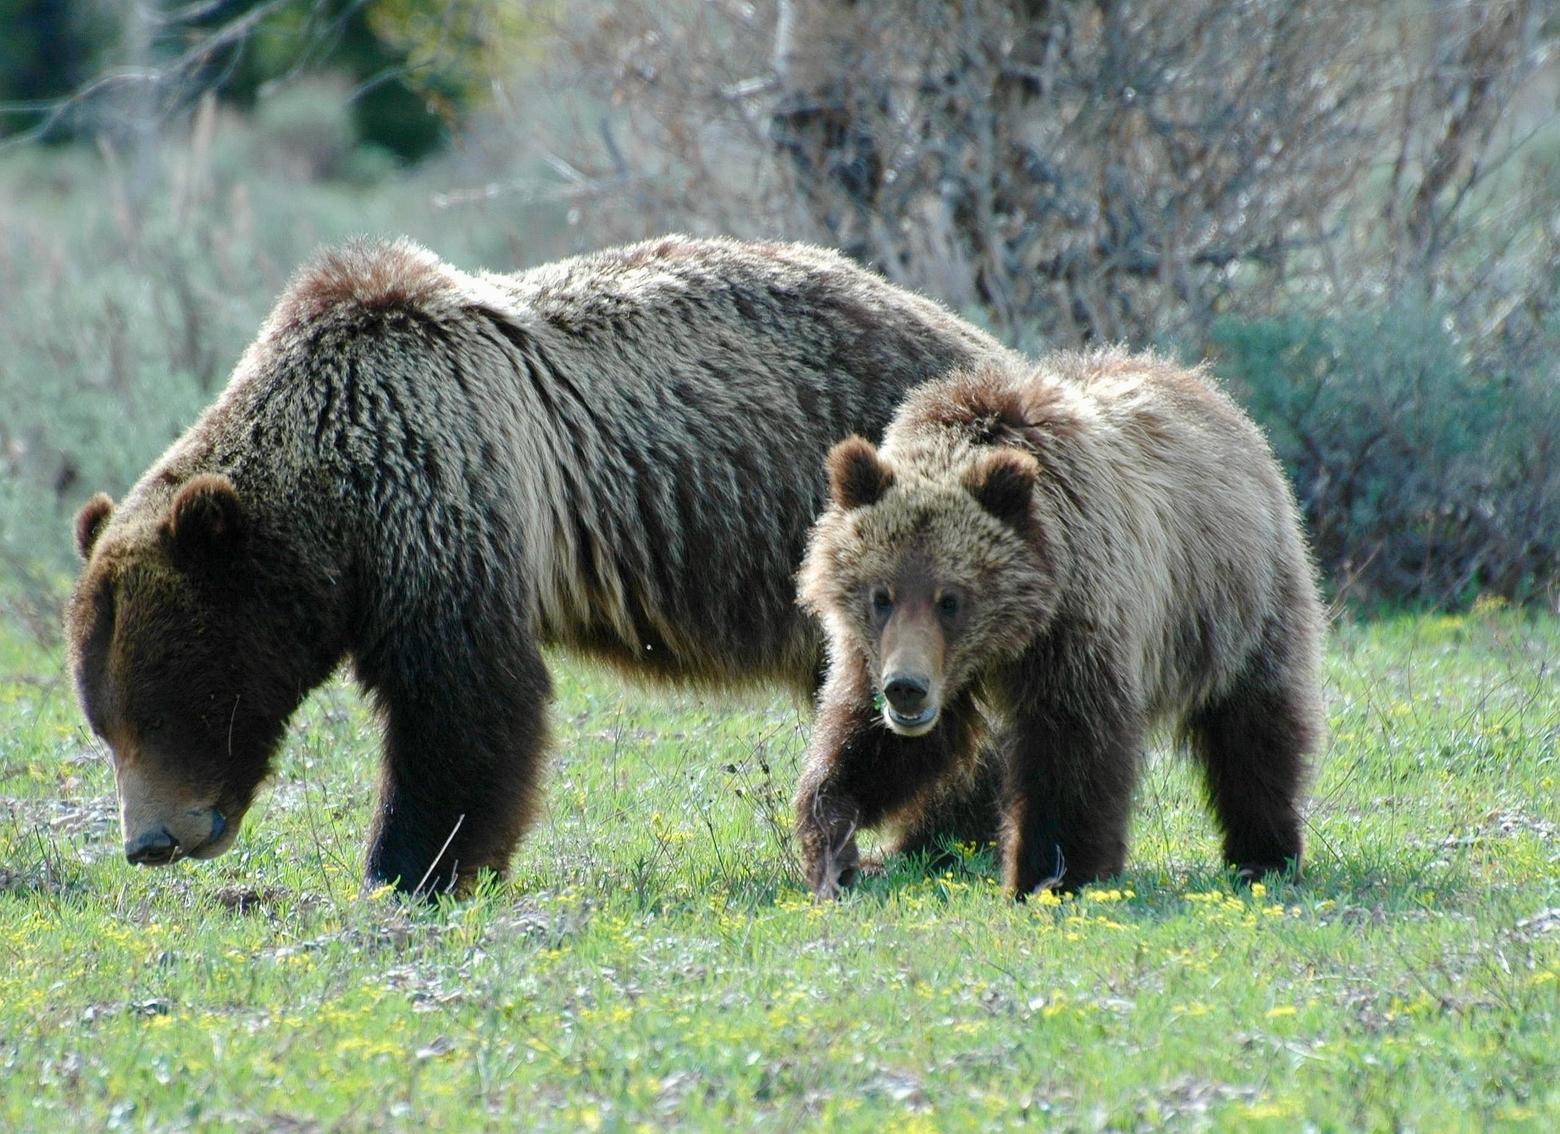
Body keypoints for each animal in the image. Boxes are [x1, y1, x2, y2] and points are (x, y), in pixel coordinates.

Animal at [67, 237, 1010, 898]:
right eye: (103, 722)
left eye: (162, 709)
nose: (149, 842)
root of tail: (985, 343)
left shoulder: (441, 485)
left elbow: (465, 703)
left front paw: (408, 869)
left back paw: (936, 833)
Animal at [798, 350, 1322, 898]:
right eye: (881, 595)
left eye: (951, 600)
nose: (906, 688)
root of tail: (1212, 393)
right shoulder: (878, 653)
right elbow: (867, 742)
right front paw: (835, 844)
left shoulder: (1077, 624)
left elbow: (1072, 752)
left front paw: (1050, 872)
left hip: (1235, 604)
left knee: (1254, 729)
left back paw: (1265, 854)